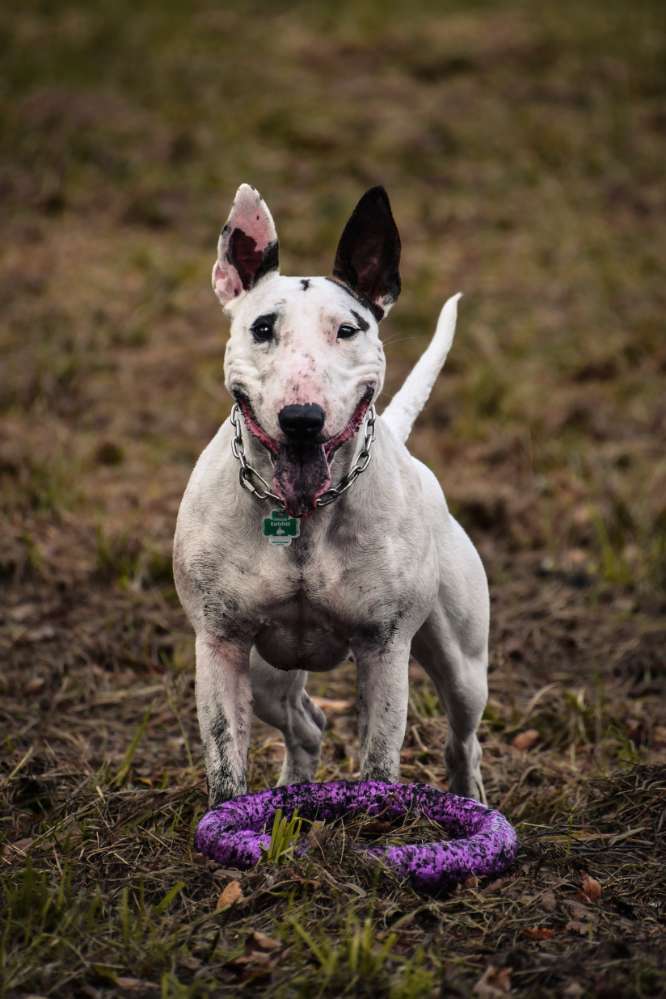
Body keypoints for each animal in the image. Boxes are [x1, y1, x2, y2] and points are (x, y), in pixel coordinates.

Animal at [174, 184, 488, 808]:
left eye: (348, 330)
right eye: (262, 329)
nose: (302, 418)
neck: (303, 517)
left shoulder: (384, 648)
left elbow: (379, 758)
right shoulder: (219, 644)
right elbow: (224, 762)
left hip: (464, 667)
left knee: (463, 740)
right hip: (268, 675)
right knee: (308, 725)